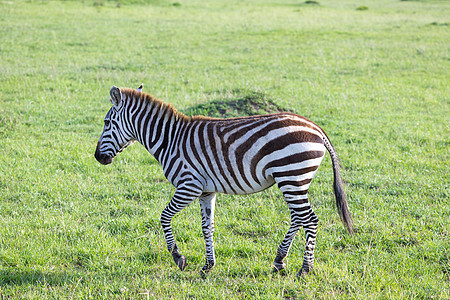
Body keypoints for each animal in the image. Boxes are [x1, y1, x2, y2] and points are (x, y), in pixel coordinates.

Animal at [95, 84, 356, 276]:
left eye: (107, 123)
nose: (98, 157)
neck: (170, 140)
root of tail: (317, 128)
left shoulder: (189, 185)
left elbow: (164, 216)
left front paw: (178, 257)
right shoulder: (205, 191)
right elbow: (207, 227)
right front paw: (208, 265)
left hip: (291, 175)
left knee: (310, 219)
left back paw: (305, 269)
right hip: (294, 180)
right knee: (298, 218)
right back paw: (279, 260)